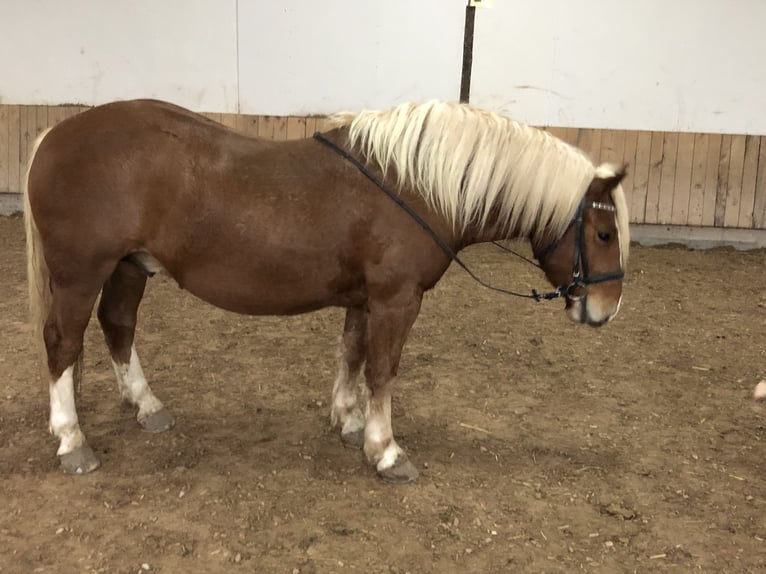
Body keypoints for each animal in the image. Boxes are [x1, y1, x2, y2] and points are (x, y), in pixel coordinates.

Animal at [24, 99, 629, 482]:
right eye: (603, 232)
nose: (606, 309)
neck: (415, 185)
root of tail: (55, 135)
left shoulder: (365, 299)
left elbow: (352, 355)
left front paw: (350, 421)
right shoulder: (396, 300)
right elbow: (382, 370)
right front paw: (385, 450)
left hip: (129, 267)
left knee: (118, 325)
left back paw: (145, 404)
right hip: (82, 273)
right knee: (62, 343)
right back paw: (72, 439)